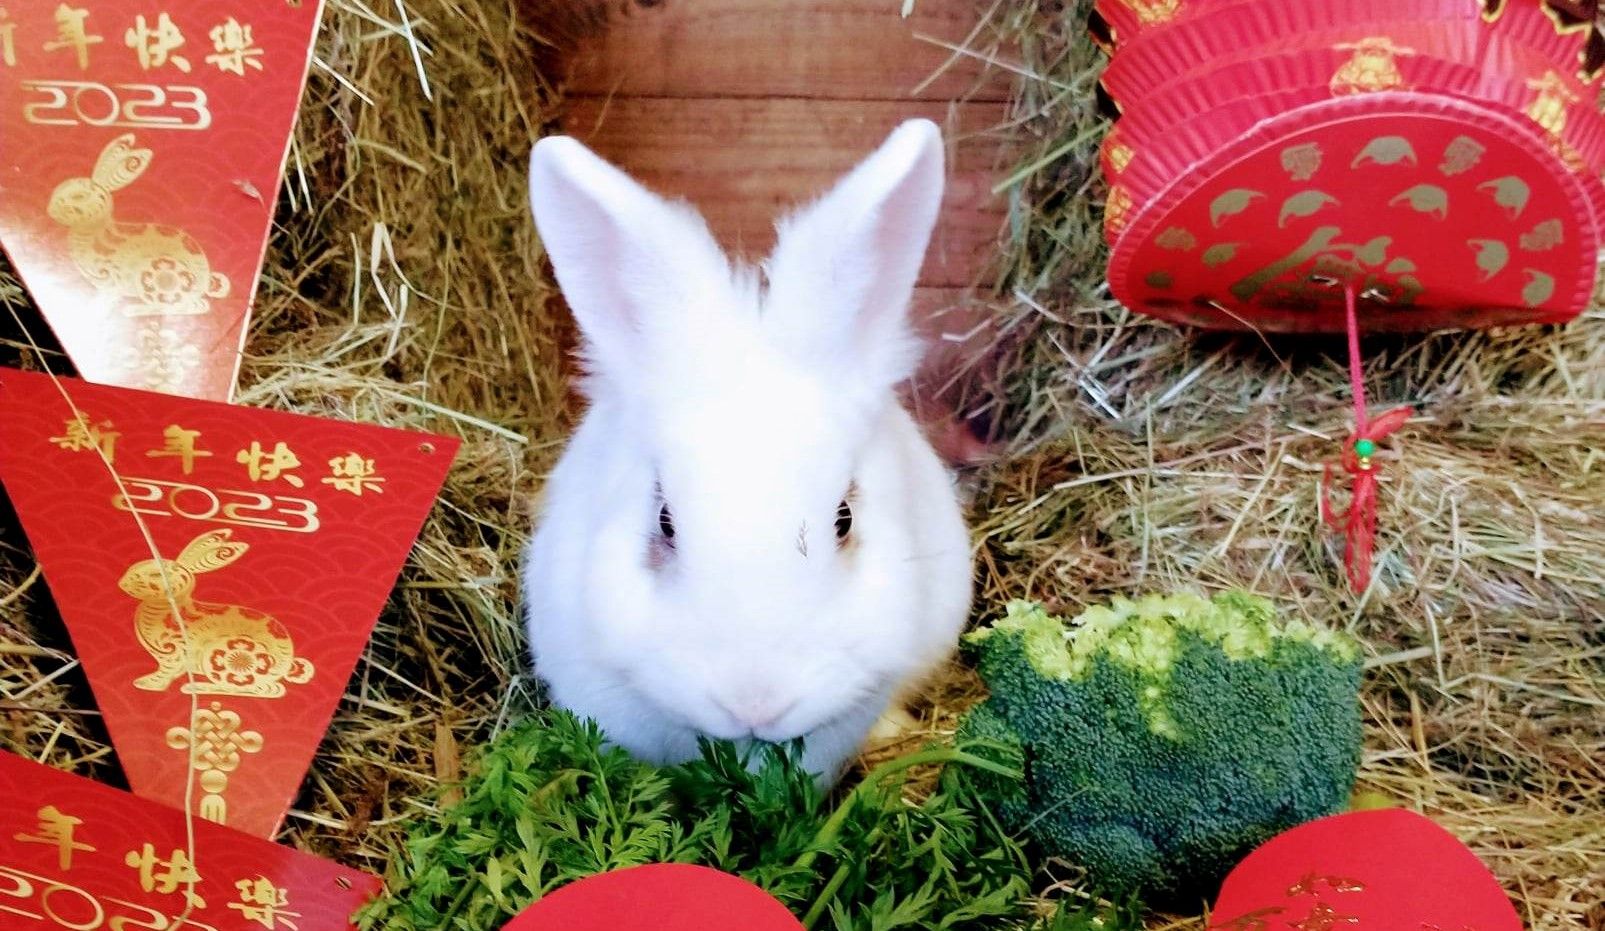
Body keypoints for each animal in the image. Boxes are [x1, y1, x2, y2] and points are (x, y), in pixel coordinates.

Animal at [47, 133, 230, 318]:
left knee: (194, 306)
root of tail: (206, 278)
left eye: (79, 196)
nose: (51, 210)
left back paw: (135, 310)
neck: (95, 229)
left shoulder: (110, 278)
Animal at [120, 529, 313, 698]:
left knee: (269, 690)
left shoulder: (175, 651)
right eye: (132, 567)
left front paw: (149, 684)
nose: (123, 583)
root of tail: (288, 661)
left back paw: (197, 687)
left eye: (156, 574)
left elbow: (167, 672)